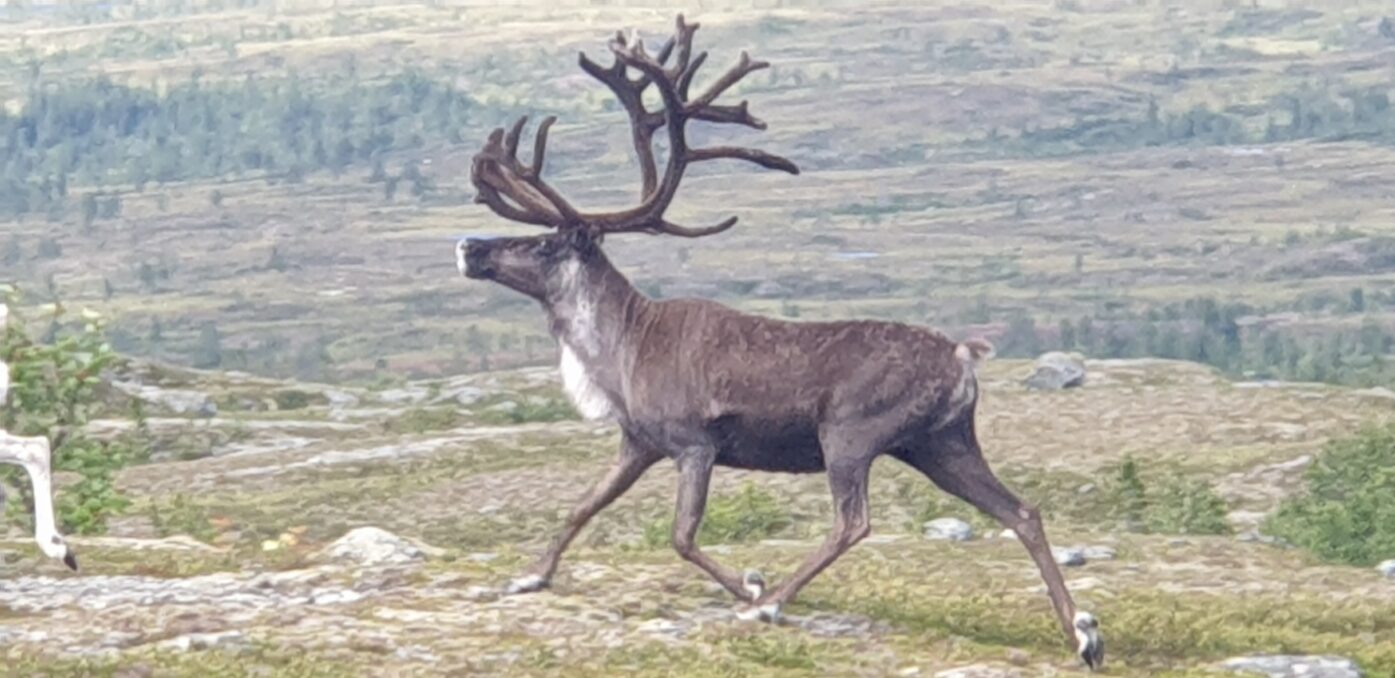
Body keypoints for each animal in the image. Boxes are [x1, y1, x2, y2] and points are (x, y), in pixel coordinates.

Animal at [456, 15, 1103, 670]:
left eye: (544, 243)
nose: (469, 246)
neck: (622, 349)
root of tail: (964, 359)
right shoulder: (637, 443)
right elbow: (582, 505)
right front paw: (529, 576)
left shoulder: (695, 443)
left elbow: (681, 535)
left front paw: (751, 585)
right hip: (939, 442)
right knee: (1021, 510)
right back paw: (1082, 632)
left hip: (850, 434)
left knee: (853, 522)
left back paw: (771, 605)